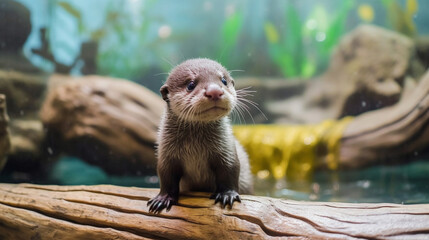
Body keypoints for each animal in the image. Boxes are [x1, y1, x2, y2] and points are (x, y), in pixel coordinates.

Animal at [149, 58, 252, 214]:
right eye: (191, 85)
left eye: (224, 80)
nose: (215, 91)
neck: (195, 149)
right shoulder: (166, 155)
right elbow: (166, 177)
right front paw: (162, 199)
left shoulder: (227, 151)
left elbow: (230, 171)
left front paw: (227, 195)